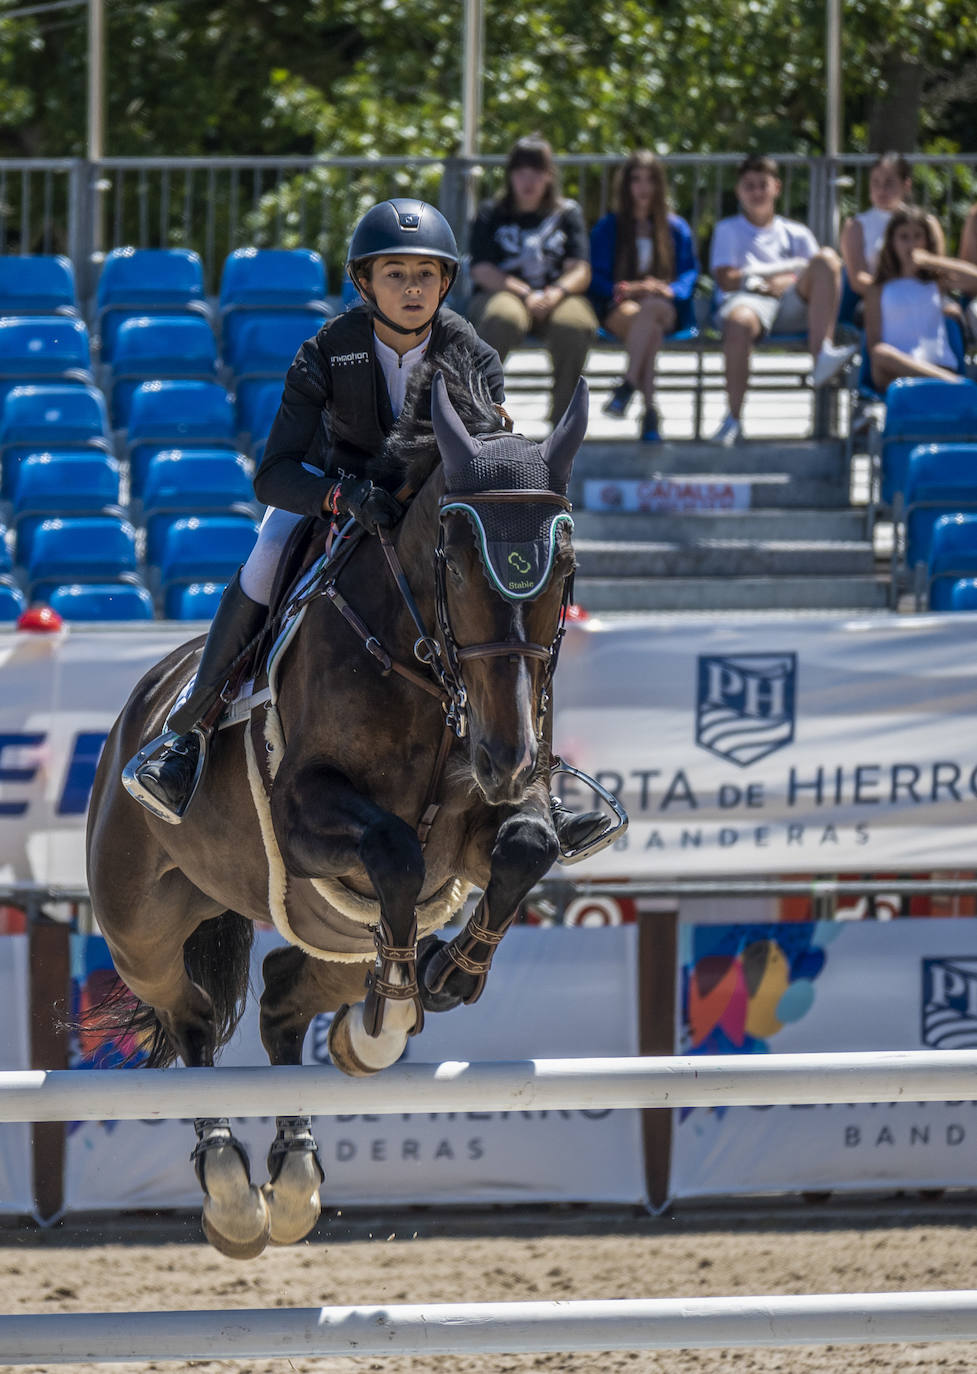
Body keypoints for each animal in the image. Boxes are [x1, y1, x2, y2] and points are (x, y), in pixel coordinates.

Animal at [90, 359, 626, 1258]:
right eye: (454, 560)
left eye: (563, 570)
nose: (506, 754)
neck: (425, 671)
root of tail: (140, 708)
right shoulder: (309, 817)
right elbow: (394, 850)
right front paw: (395, 1010)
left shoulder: (486, 821)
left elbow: (525, 846)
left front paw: (445, 976)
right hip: (143, 929)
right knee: (191, 1016)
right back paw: (232, 1190)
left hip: (331, 938)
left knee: (280, 996)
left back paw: (296, 1177)